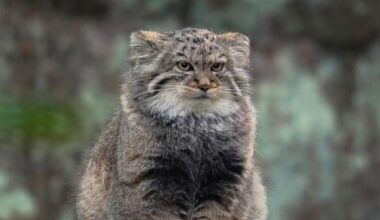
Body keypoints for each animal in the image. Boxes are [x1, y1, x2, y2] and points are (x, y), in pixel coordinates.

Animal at [76, 27, 268, 220]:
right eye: (184, 65)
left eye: (216, 67)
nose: (205, 85)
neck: (196, 126)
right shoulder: (149, 182)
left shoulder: (228, 180)